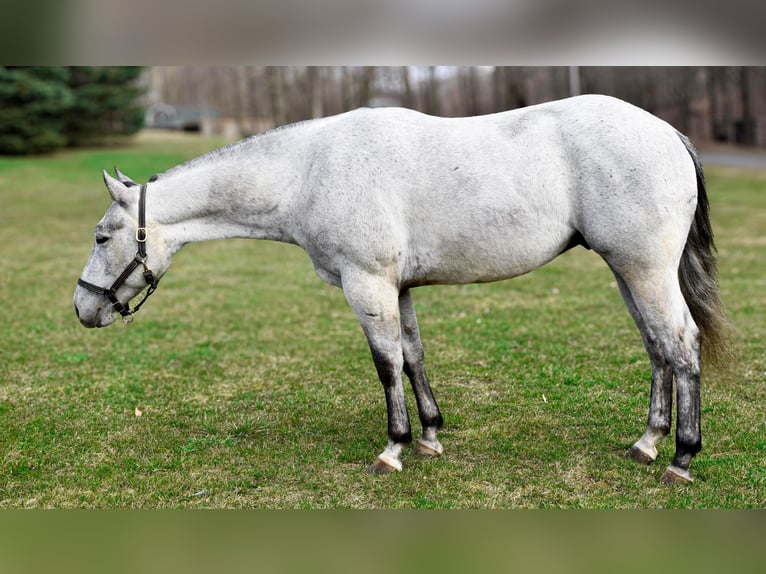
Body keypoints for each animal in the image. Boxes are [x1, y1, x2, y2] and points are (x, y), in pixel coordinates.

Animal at [75, 95, 736, 486]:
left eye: (103, 236)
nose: (82, 308)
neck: (309, 171)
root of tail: (667, 132)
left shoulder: (366, 285)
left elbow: (386, 363)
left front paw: (393, 448)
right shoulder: (400, 288)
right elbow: (414, 356)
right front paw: (431, 437)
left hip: (645, 270)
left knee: (682, 345)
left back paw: (681, 457)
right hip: (629, 273)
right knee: (657, 348)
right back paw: (647, 443)